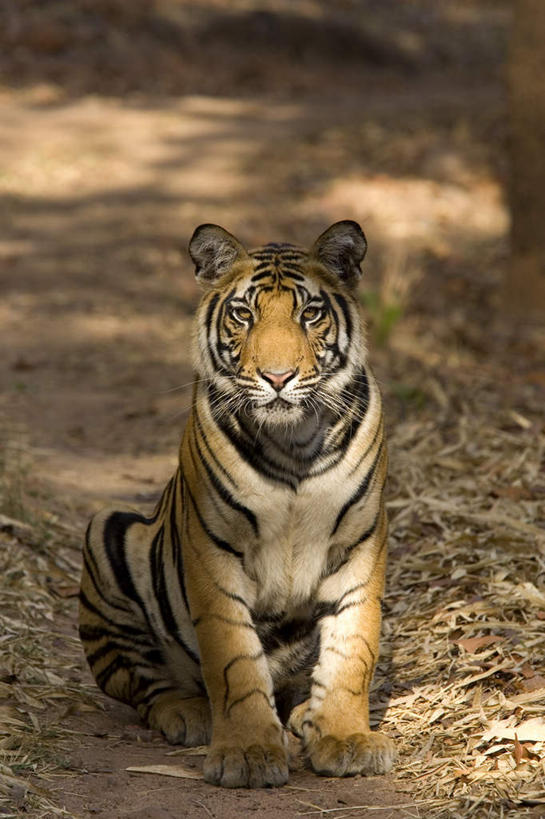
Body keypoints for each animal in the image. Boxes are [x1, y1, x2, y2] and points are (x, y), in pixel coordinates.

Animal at [78, 221, 394, 792]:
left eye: (309, 314)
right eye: (244, 314)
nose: (278, 377)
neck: (293, 443)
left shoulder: (361, 541)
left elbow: (353, 650)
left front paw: (345, 738)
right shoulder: (213, 548)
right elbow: (234, 660)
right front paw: (247, 752)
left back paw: (303, 716)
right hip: (106, 533)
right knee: (144, 684)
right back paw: (191, 714)